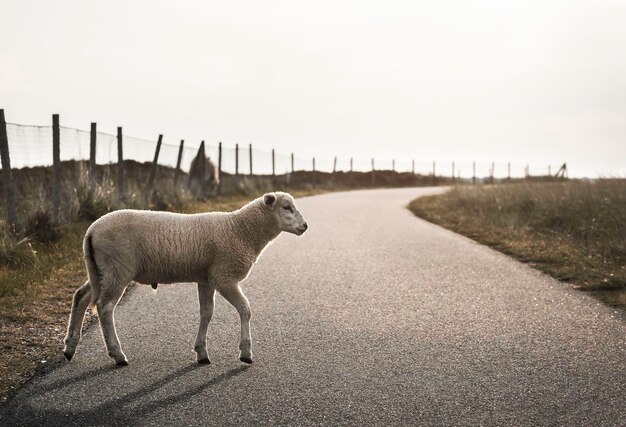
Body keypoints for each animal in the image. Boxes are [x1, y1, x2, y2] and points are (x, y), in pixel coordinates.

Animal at [63, 192, 308, 366]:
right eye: (287, 207)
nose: (305, 226)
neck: (241, 230)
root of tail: (92, 230)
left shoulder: (207, 278)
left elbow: (206, 313)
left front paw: (202, 352)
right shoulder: (224, 277)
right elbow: (245, 309)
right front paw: (246, 352)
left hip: (100, 271)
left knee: (81, 297)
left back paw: (69, 348)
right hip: (117, 269)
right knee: (105, 308)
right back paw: (118, 354)